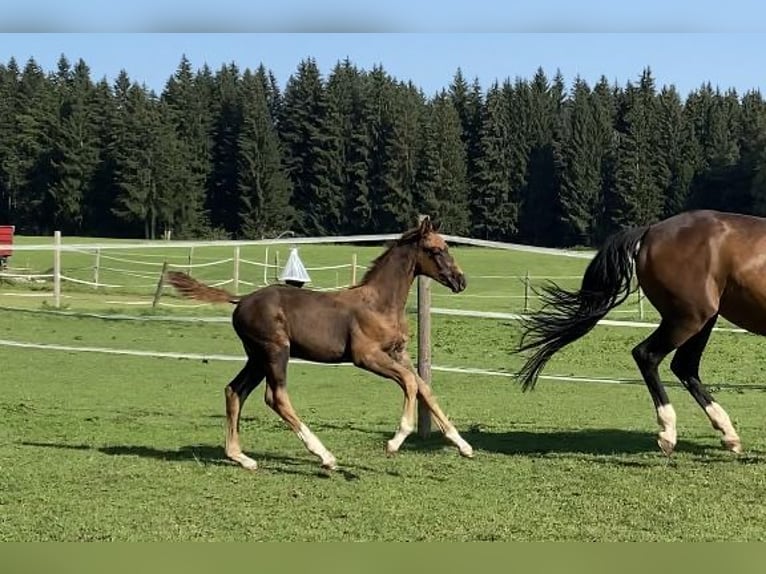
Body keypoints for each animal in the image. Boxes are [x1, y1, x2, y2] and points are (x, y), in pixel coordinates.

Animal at [168, 218, 474, 474]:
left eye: (446, 246)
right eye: (436, 250)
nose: (461, 281)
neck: (379, 303)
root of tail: (240, 300)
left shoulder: (398, 353)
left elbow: (424, 389)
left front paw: (463, 445)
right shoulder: (366, 356)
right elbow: (410, 383)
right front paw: (395, 441)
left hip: (256, 357)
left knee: (234, 391)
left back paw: (241, 457)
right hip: (275, 352)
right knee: (275, 397)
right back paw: (325, 456)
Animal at [516, 212, 766, 460]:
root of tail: (650, 231)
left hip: (702, 320)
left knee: (684, 366)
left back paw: (727, 434)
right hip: (688, 318)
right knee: (647, 355)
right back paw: (668, 433)